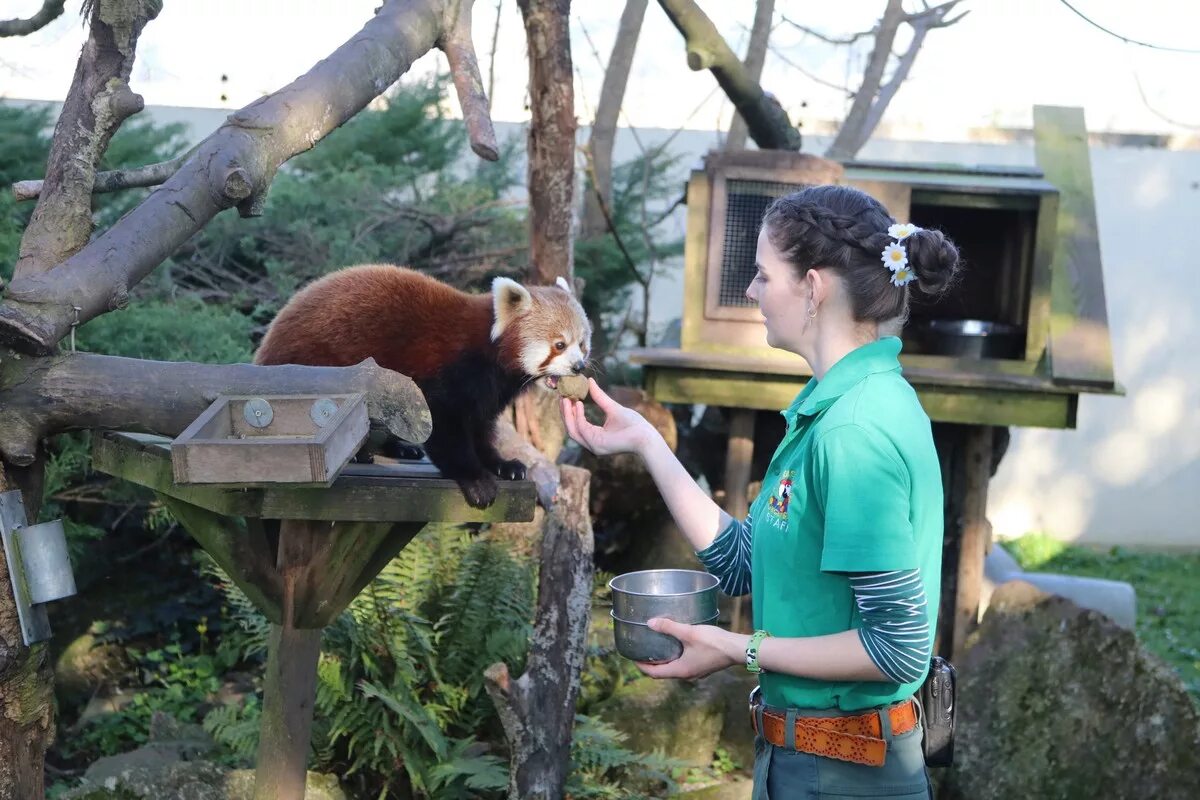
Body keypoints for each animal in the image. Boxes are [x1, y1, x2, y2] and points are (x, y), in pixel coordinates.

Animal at [253, 266, 590, 510]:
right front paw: (475, 478)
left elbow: (481, 428)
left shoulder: (488, 392)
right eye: (559, 345)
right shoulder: (448, 373)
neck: (488, 350)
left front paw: (501, 464)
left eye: (583, 343)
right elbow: (445, 428)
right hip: (319, 367)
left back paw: (398, 447)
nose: (579, 366)